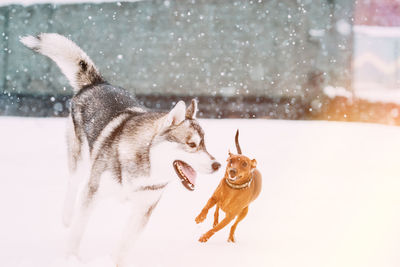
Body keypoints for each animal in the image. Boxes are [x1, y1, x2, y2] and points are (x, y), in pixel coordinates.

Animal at [21, 33, 222, 266]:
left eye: (205, 144)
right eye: (192, 144)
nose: (217, 165)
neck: (145, 166)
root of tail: (98, 83)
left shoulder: (143, 209)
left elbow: (124, 245)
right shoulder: (93, 192)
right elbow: (78, 231)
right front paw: (71, 258)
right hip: (80, 159)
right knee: (73, 184)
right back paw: (67, 216)